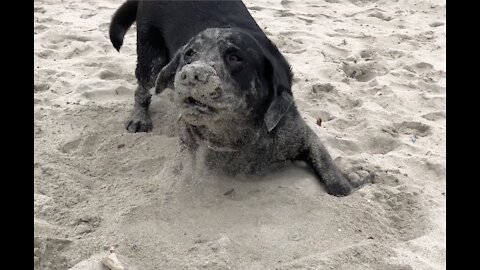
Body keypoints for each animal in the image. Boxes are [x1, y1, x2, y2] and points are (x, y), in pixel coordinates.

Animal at [110, 0, 374, 195]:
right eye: (189, 54)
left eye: (235, 57)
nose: (191, 73)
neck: (240, 135)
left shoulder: (300, 133)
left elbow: (333, 178)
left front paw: (353, 179)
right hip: (150, 59)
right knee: (142, 90)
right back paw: (139, 118)